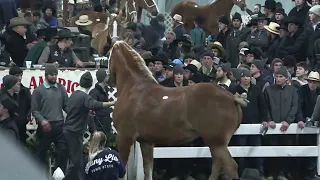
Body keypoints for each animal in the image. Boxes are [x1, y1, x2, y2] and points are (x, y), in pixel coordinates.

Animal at [107, 41, 248, 180]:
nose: (109, 80)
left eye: (109, 56)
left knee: (230, 167)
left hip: (217, 143)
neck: (134, 88)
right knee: (218, 166)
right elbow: (148, 170)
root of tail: (232, 97)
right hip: (216, 144)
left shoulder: (124, 137)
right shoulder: (146, 141)